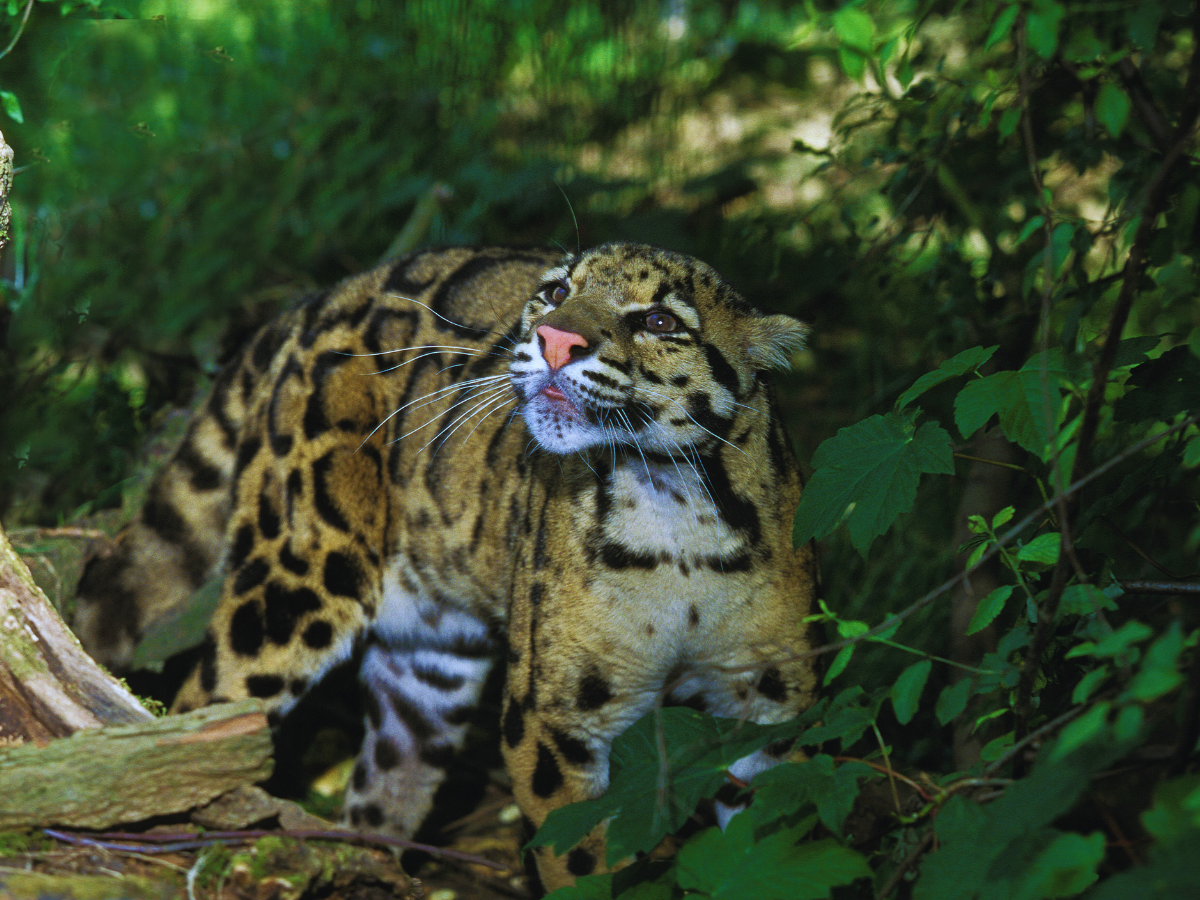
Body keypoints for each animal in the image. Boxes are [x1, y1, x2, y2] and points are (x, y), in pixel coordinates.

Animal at [73, 242, 820, 891]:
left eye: (661, 322)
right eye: (556, 293)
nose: (554, 340)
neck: (672, 514)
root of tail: (324, 295)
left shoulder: (773, 703)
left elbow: (781, 828)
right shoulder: (554, 724)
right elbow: (578, 861)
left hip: (428, 665)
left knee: (386, 781)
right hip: (296, 582)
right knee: (202, 714)